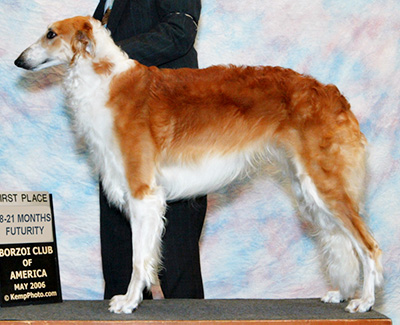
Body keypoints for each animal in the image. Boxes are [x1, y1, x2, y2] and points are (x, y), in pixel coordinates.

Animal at [15, 15, 382, 314]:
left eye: (51, 34)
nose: (19, 60)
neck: (105, 79)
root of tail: (334, 94)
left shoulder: (143, 192)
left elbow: (138, 258)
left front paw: (128, 302)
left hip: (325, 184)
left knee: (368, 245)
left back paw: (363, 301)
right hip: (309, 186)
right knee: (343, 241)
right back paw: (340, 293)